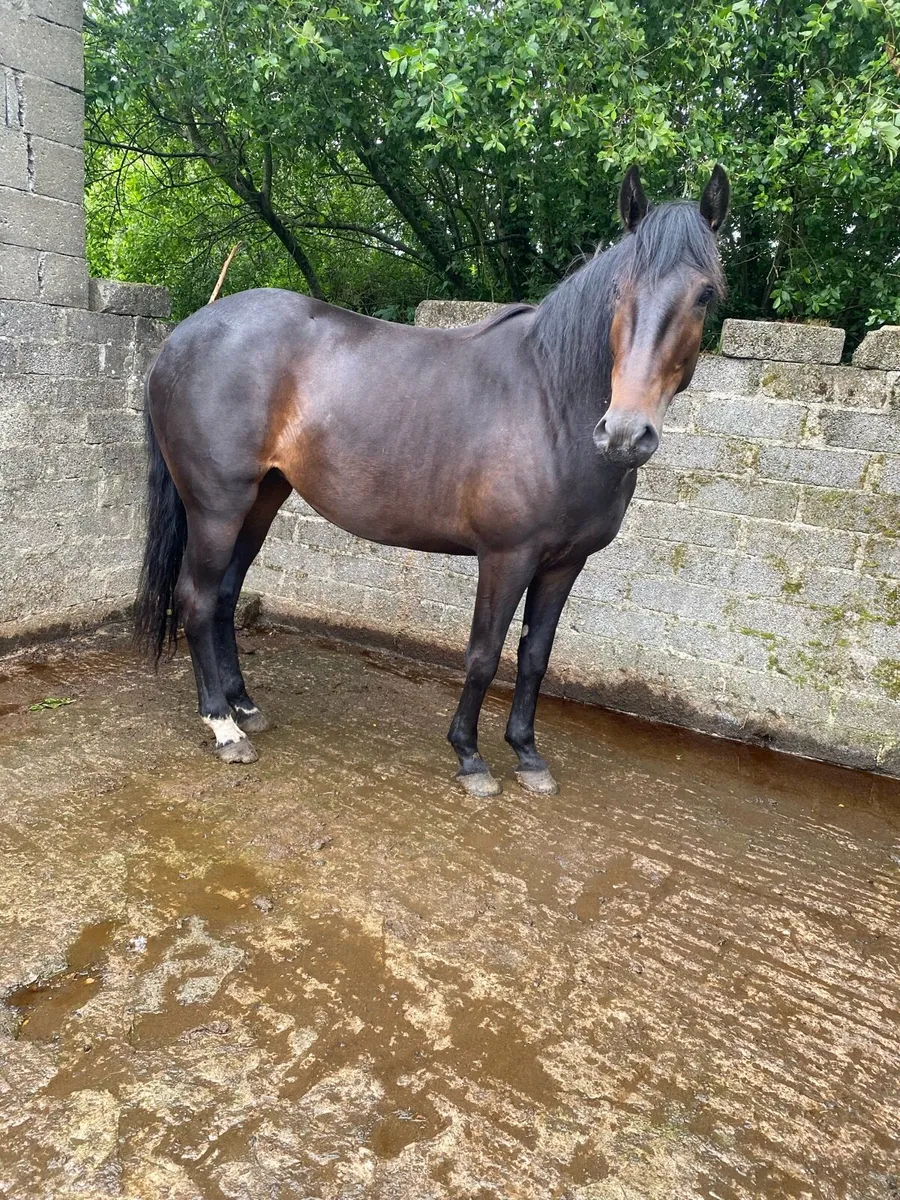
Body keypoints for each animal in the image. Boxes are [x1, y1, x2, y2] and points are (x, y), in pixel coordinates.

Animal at [136, 165, 729, 797]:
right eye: (620, 289)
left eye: (705, 294)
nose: (623, 433)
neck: (552, 401)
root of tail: (180, 338)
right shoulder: (506, 556)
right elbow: (484, 655)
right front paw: (470, 756)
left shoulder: (565, 564)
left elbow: (535, 657)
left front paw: (527, 754)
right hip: (217, 508)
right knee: (196, 599)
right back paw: (223, 727)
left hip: (262, 500)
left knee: (225, 596)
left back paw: (244, 706)